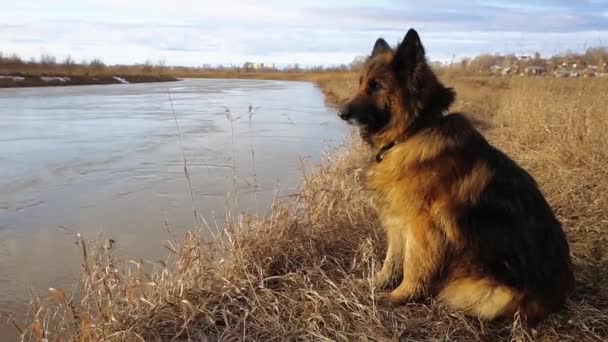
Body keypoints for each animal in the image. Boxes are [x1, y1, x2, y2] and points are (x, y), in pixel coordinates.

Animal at [340, 29, 572, 324]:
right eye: (360, 83)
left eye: (377, 86)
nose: (342, 113)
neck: (415, 131)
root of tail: (560, 294)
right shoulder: (397, 219)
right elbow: (393, 257)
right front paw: (378, 283)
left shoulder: (422, 225)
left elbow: (412, 264)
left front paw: (400, 296)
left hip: (487, 293)